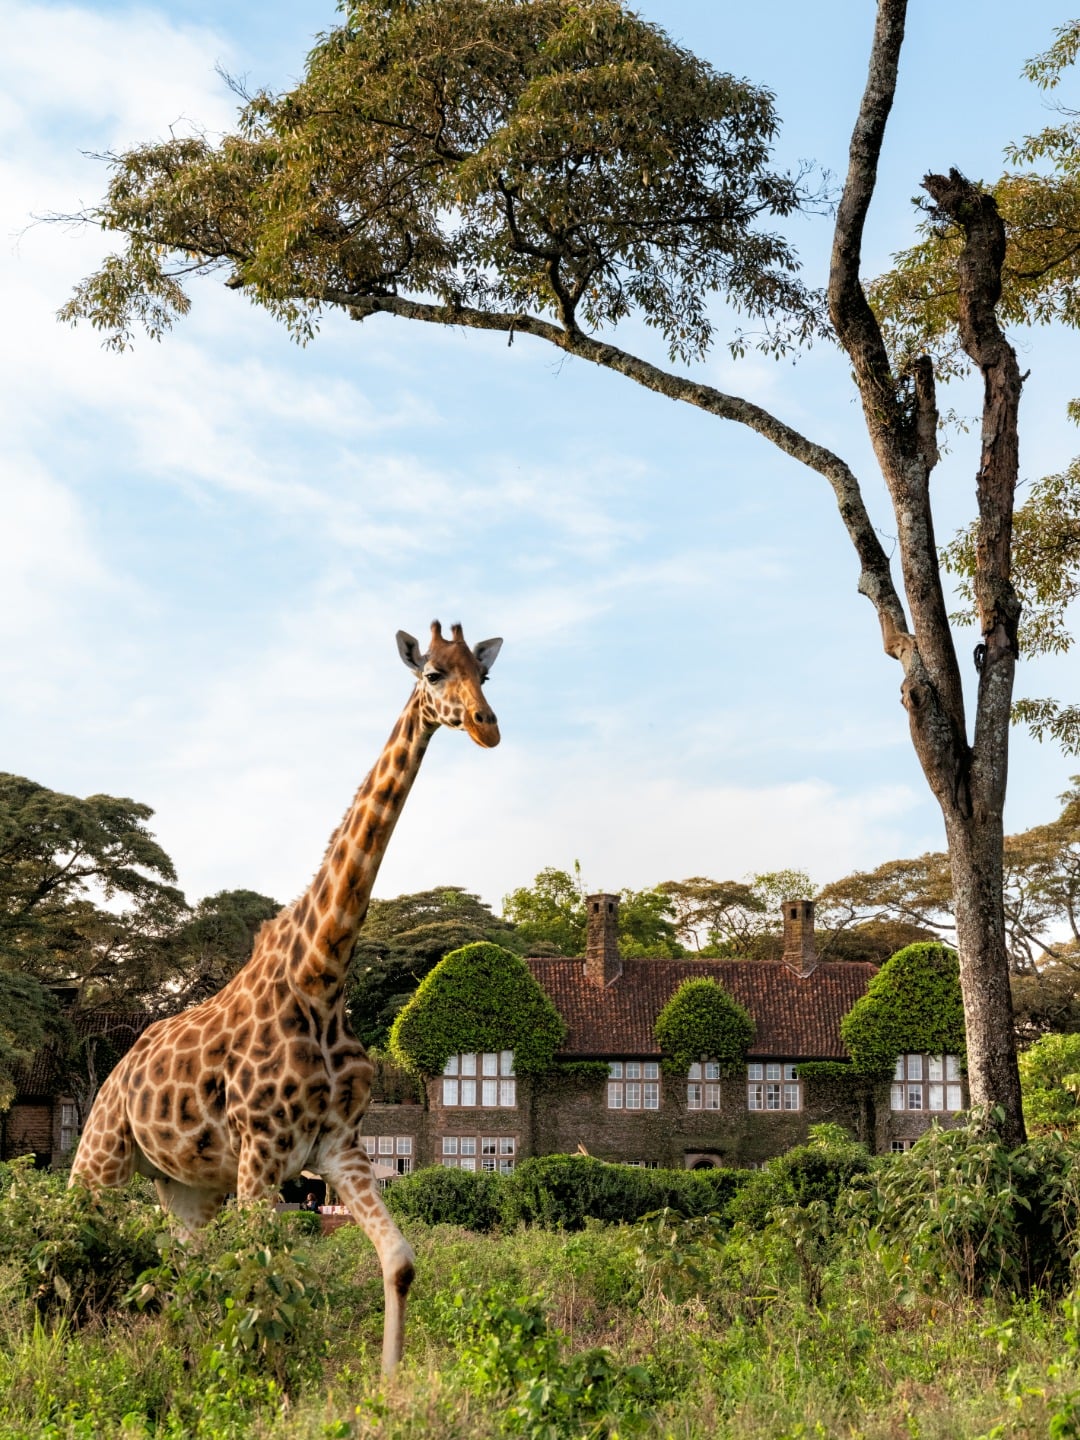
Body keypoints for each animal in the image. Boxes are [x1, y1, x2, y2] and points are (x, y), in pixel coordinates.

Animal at [69, 620, 502, 1373]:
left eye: (486, 674)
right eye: (434, 675)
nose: (486, 726)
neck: (323, 975)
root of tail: (119, 1068)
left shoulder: (336, 1145)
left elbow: (399, 1263)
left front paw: (387, 1389)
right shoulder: (261, 1152)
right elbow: (258, 1278)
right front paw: (254, 1380)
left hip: (187, 1187)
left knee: (180, 1262)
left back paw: (179, 1352)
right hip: (101, 1155)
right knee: (72, 1233)